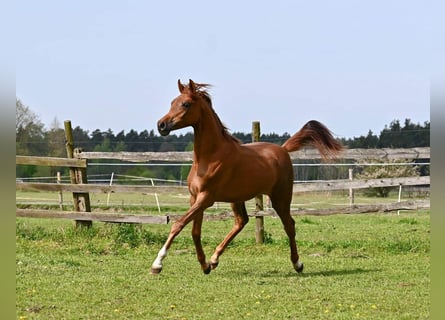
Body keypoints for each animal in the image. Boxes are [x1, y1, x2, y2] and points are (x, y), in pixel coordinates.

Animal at [151, 80, 342, 276]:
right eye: (172, 102)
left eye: (186, 104)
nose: (161, 125)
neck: (210, 157)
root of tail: (283, 149)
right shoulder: (194, 197)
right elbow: (195, 232)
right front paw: (205, 266)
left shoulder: (206, 198)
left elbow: (178, 224)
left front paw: (157, 264)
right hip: (237, 199)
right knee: (242, 221)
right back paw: (214, 259)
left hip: (280, 197)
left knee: (289, 225)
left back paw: (297, 264)